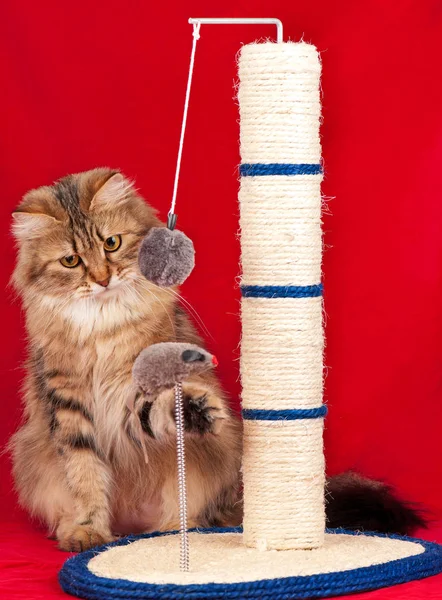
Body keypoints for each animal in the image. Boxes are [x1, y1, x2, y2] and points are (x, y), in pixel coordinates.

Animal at [10, 166, 424, 552]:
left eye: (112, 243)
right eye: (71, 261)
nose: (101, 279)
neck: (101, 327)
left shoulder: (136, 388)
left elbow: (157, 411)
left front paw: (193, 410)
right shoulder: (66, 404)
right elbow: (85, 477)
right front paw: (88, 531)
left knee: (192, 519)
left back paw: (171, 532)